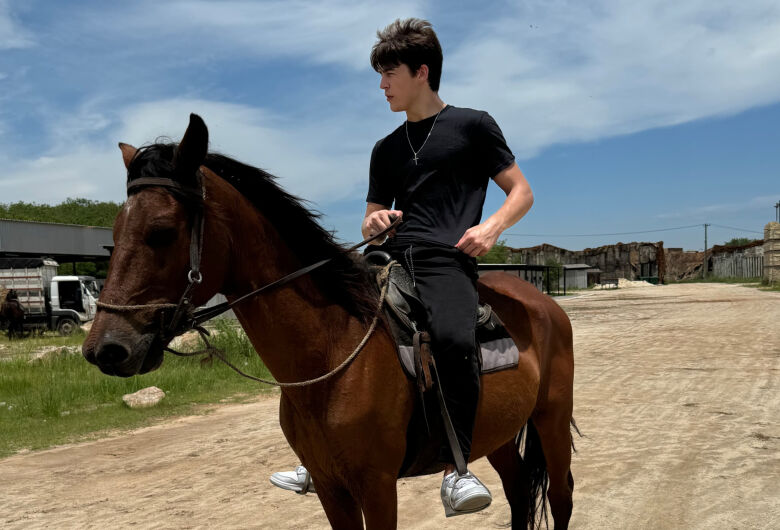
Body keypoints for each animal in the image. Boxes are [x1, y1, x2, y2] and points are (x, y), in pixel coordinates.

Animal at [82, 113, 576, 524]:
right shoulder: (330, 487)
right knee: (518, 491)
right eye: (115, 232)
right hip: (499, 432)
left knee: (560, 497)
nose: (105, 349)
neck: (332, 350)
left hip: (551, 418)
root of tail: (544, 303)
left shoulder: (377, 486)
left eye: (161, 232)